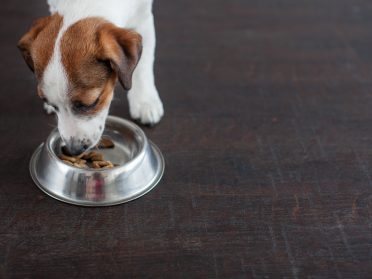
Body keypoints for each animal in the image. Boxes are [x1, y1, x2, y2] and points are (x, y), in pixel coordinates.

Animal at [17, 0, 163, 155]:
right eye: (50, 102)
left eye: (92, 103)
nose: (74, 150)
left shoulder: (143, 16)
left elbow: (144, 65)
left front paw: (145, 101)